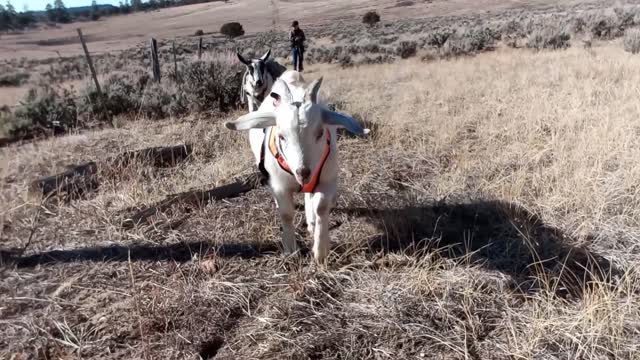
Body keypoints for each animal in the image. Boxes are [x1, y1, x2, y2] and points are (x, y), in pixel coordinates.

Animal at [225, 70, 370, 262]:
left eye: (320, 132)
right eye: (281, 136)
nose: (303, 172)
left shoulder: (328, 179)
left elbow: (321, 207)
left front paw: (320, 251)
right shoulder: (279, 186)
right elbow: (286, 214)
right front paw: (290, 249)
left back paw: (311, 222)